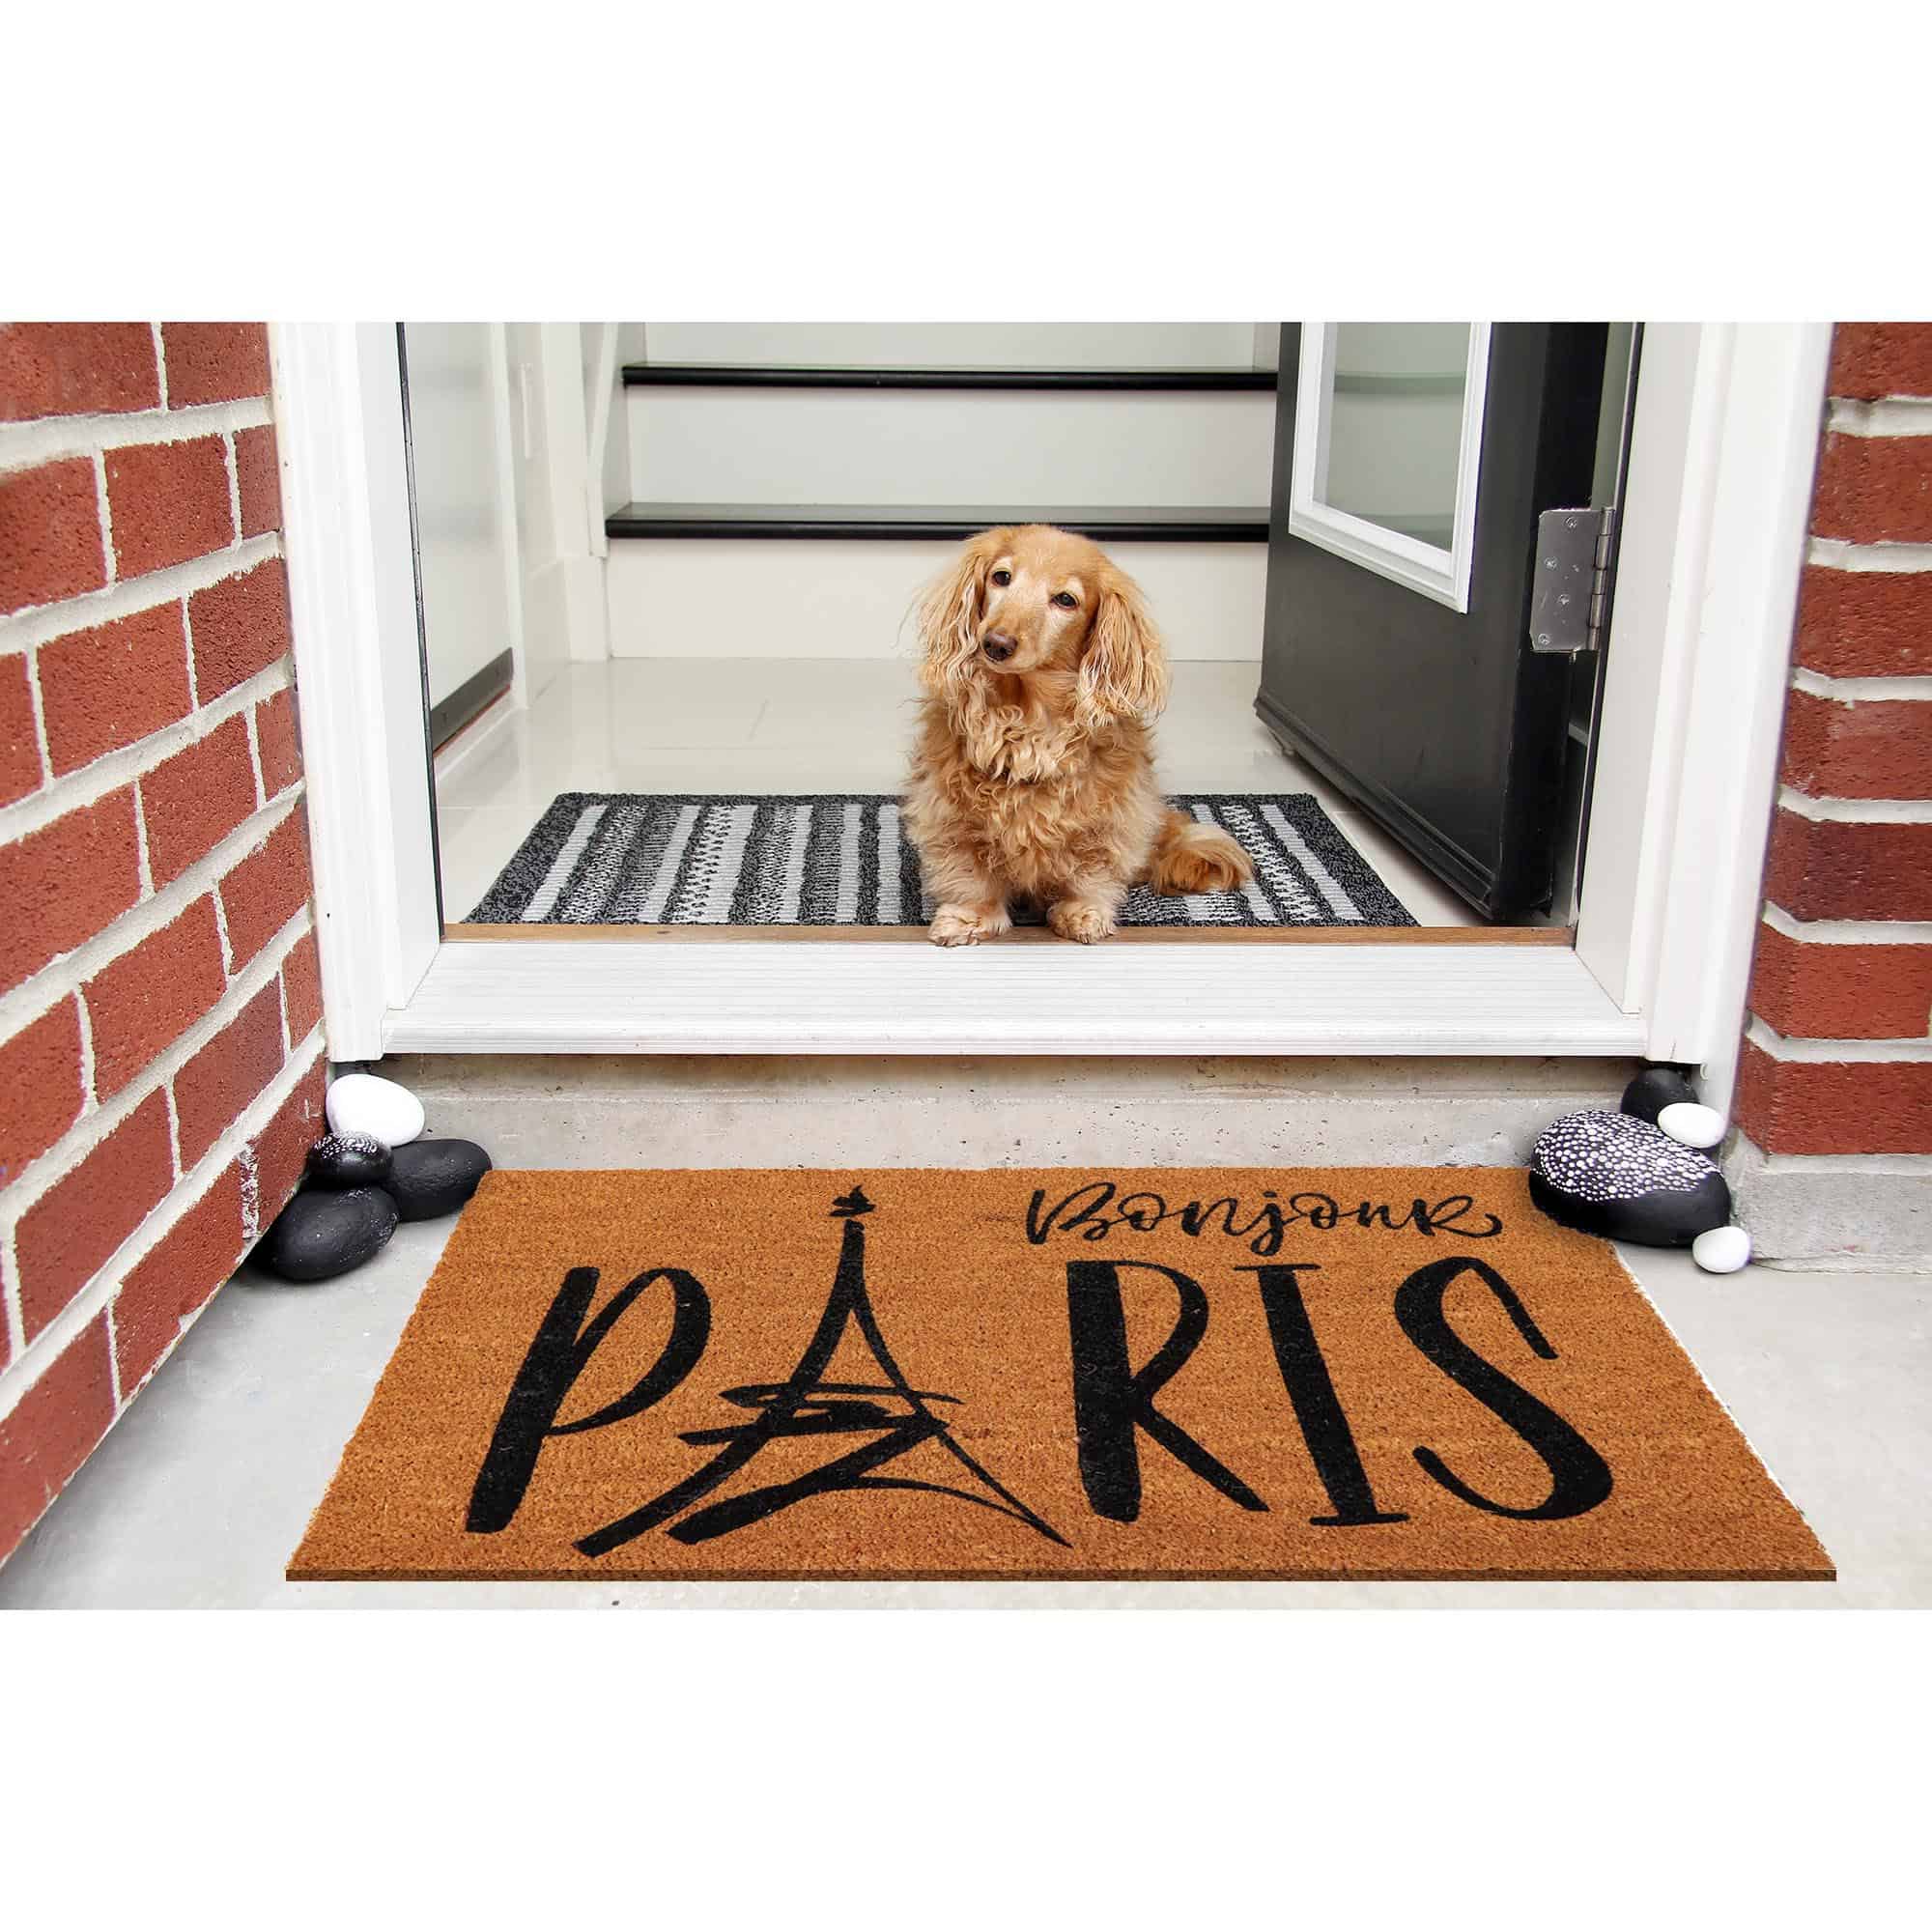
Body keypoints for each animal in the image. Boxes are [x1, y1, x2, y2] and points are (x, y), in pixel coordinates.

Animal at [904, 526, 1252, 947]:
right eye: (1001, 577)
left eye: (1066, 600)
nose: (996, 643)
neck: (1025, 719)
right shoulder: (950, 814)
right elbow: (970, 875)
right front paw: (969, 918)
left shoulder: (1109, 818)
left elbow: (1091, 871)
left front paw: (1082, 913)